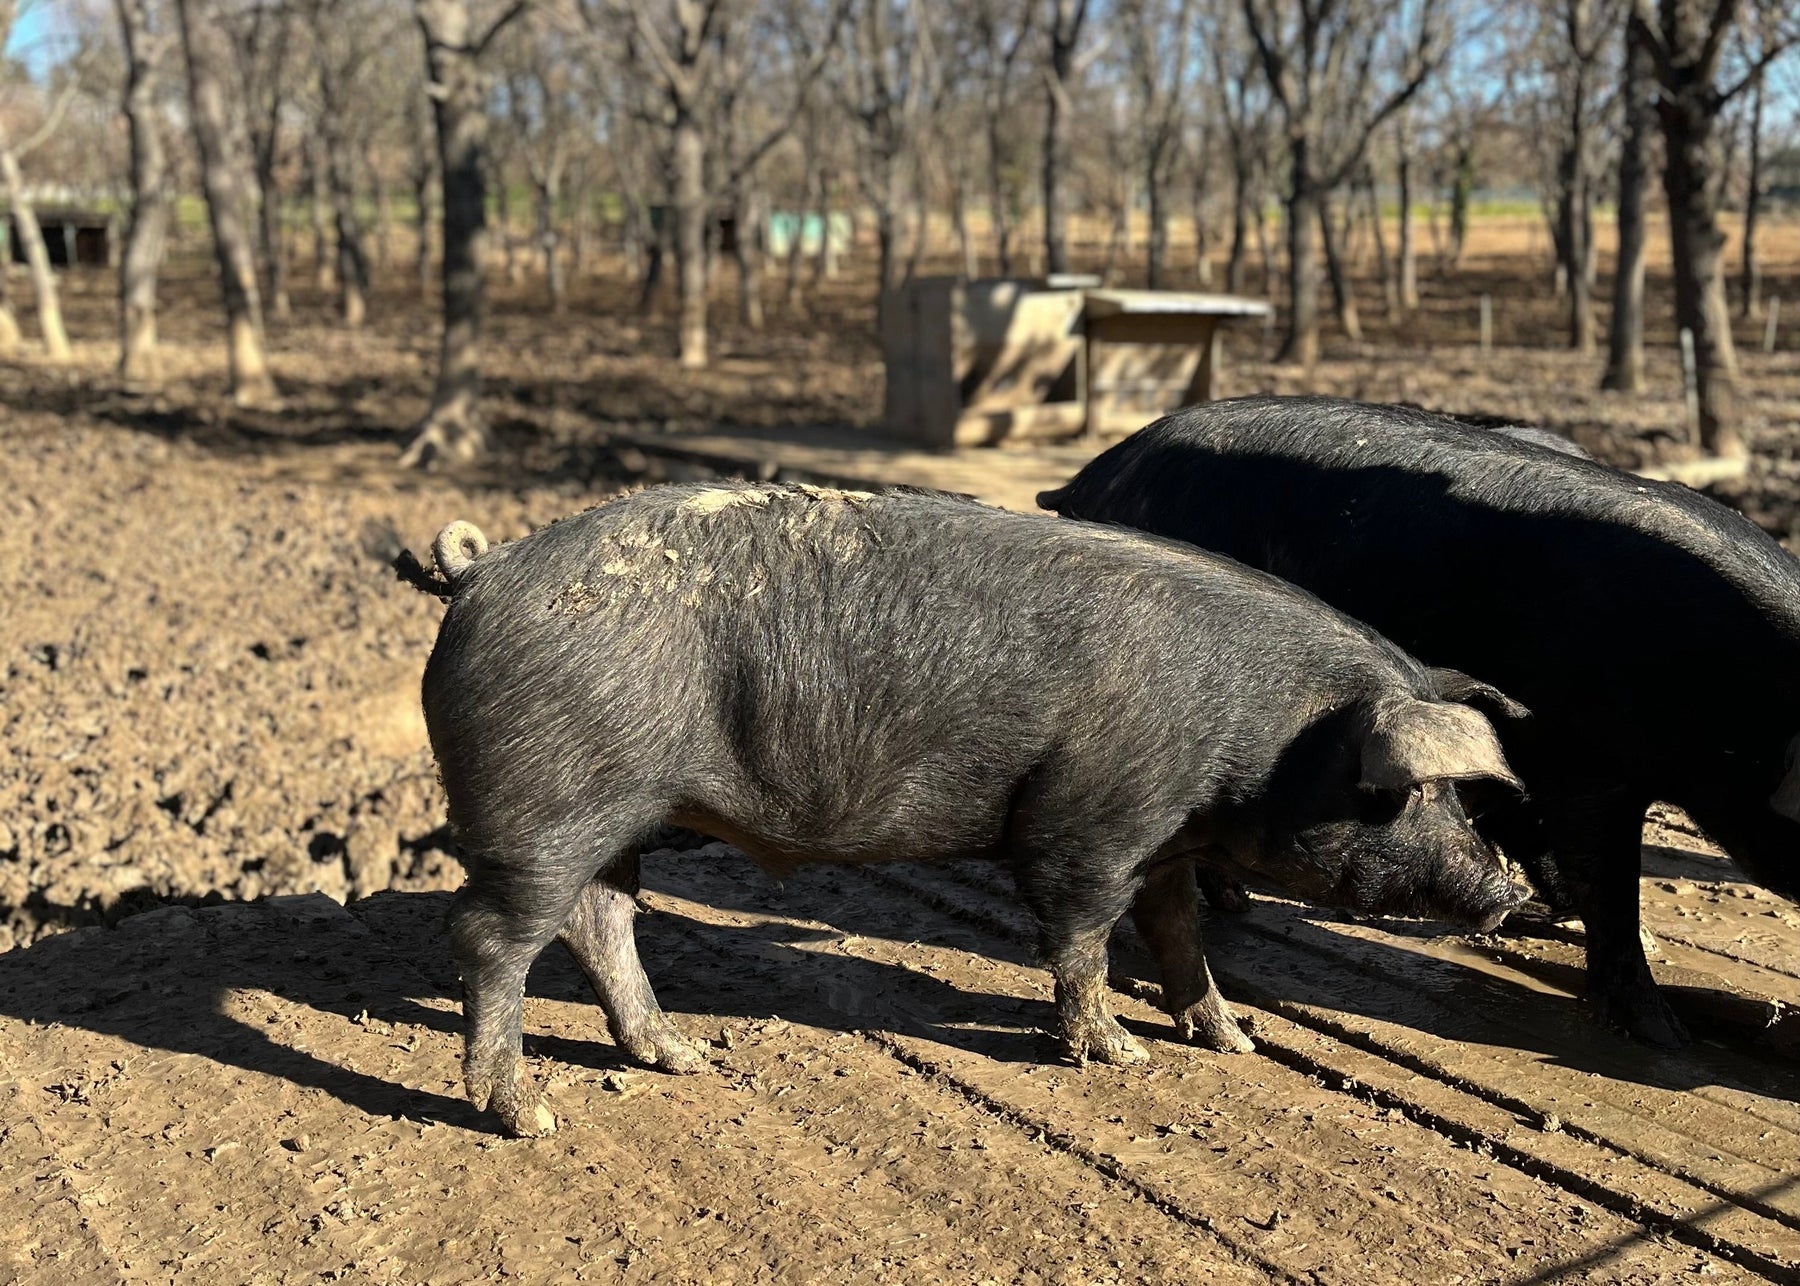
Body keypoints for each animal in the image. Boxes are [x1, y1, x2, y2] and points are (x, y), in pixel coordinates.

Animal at [402, 482, 1525, 1137]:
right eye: (1401, 792)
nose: (1508, 890)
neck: (1263, 736)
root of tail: (481, 570)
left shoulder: (1165, 841)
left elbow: (1178, 935)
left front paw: (1232, 1039)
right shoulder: (1091, 824)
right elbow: (1082, 939)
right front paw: (1119, 1052)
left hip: (615, 814)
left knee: (602, 921)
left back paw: (682, 1057)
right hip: (546, 807)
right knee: (492, 936)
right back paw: (528, 1116)